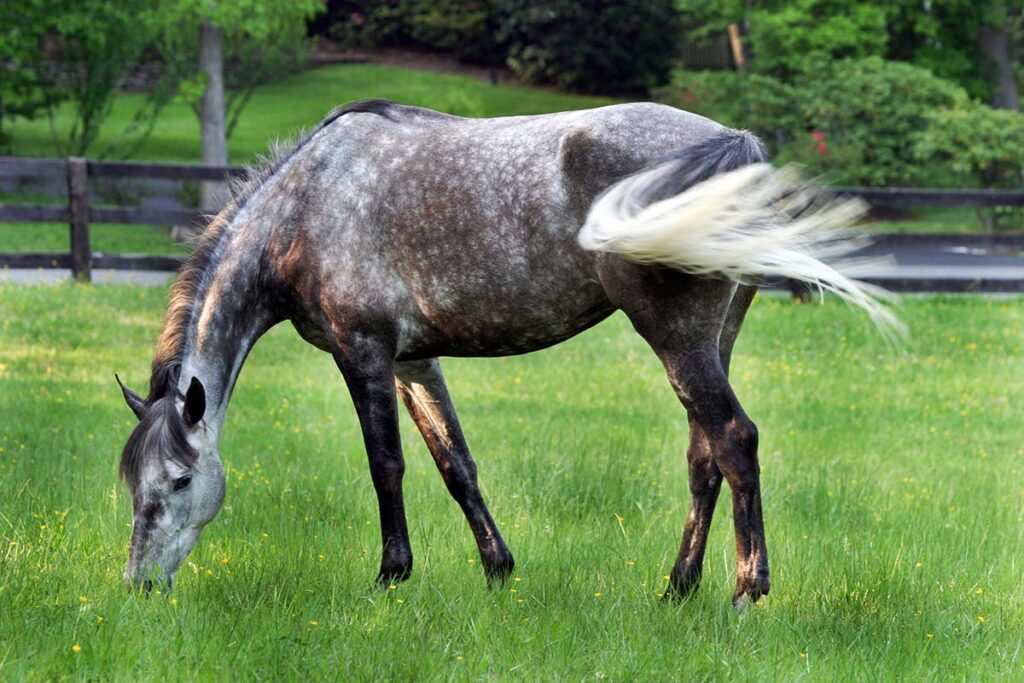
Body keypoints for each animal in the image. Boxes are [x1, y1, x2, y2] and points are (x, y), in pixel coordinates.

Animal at [117, 97, 897, 610]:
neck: (305, 205)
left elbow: (387, 466)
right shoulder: (413, 362)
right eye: (134, 485)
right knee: (704, 454)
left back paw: (744, 591)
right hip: (711, 342)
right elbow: (455, 463)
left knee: (734, 440)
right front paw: (498, 569)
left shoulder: (363, 353)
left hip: (677, 339)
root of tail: (735, 144)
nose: (140, 586)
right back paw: (676, 588)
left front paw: (391, 576)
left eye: (179, 482)